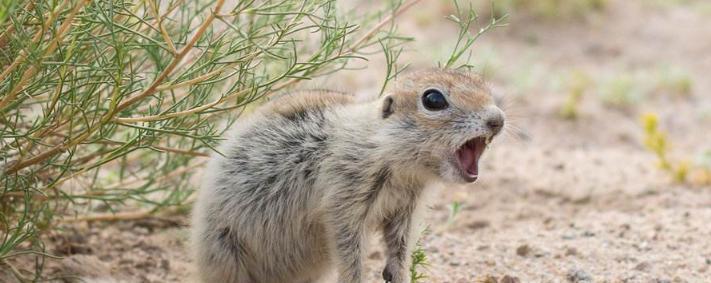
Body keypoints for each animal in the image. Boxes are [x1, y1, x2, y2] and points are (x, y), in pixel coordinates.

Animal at [193, 69, 506, 283]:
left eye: (484, 85)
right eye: (433, 99)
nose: (498, 120)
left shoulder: (406, 209)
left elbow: (399, 248)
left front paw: (397, 275)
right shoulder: (345, 196)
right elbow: (348, 248)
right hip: (223, 249)